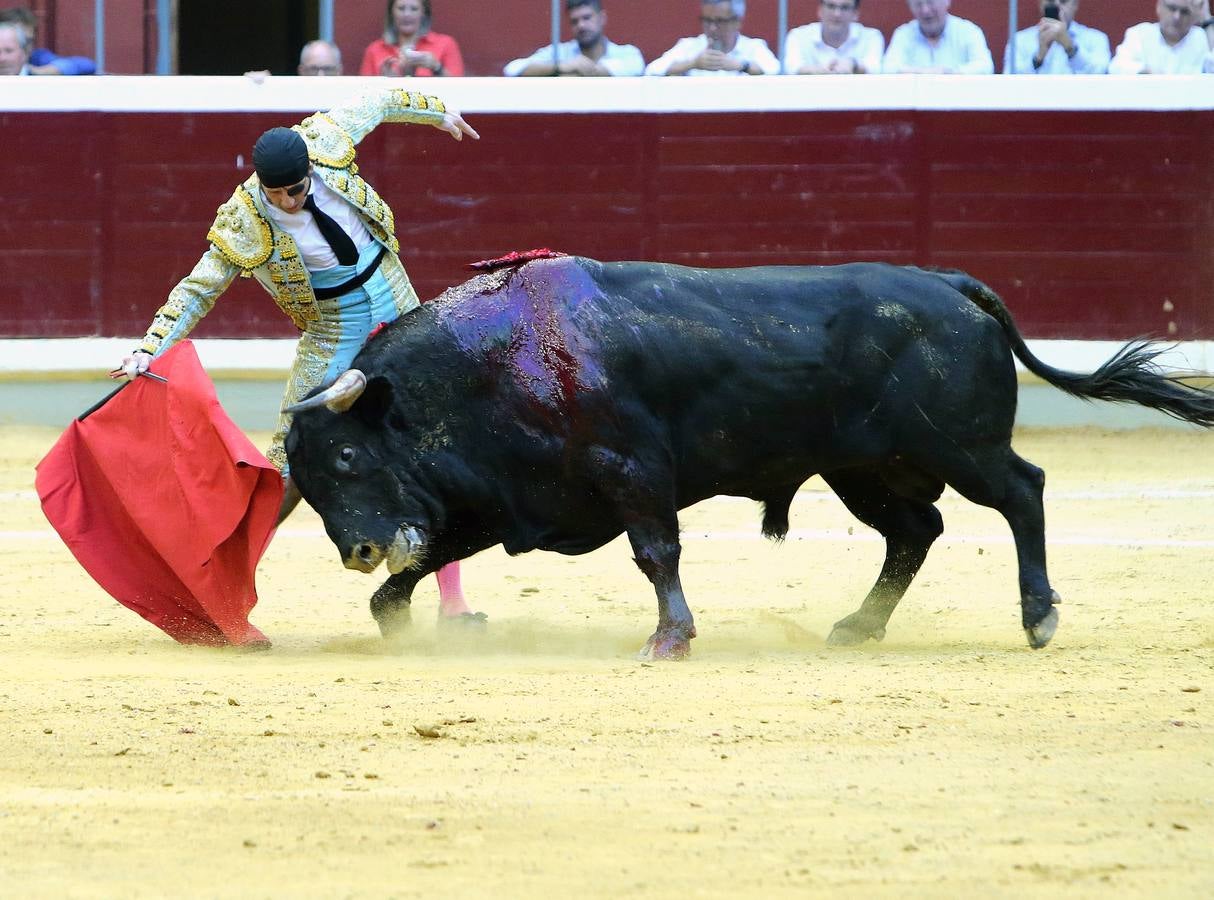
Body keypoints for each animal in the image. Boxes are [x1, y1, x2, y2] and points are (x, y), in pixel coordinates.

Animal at [286, 256, 1214, 655]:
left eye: (345, 457)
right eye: (310, 486)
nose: (358, 549)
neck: (496, 360)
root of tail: (954, 287)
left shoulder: (632, 475)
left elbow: (656, 553)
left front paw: (670, 639)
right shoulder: (513, 500)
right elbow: (421, 565)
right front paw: (398, 620)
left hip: (962, 447)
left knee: (1023, 490)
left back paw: (1038, 617)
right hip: (863, 471)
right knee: (916, 530)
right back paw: (859, 626)